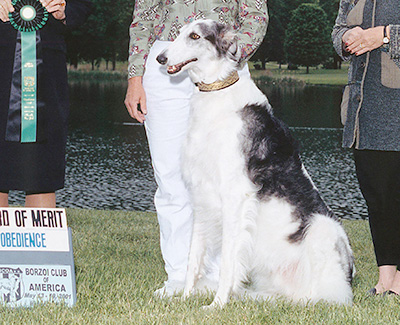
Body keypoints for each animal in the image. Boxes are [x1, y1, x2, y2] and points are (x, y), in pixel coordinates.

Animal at [155, 19, 354, 308]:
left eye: (194, 36)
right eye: (178, 33)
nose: (160, 58)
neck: (217, 91)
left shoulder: (234, 196)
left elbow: (227, 262)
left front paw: (216, 305)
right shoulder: (202, 193)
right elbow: (194, 257)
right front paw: (185, 297)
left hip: (322, 228)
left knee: (322, 297)